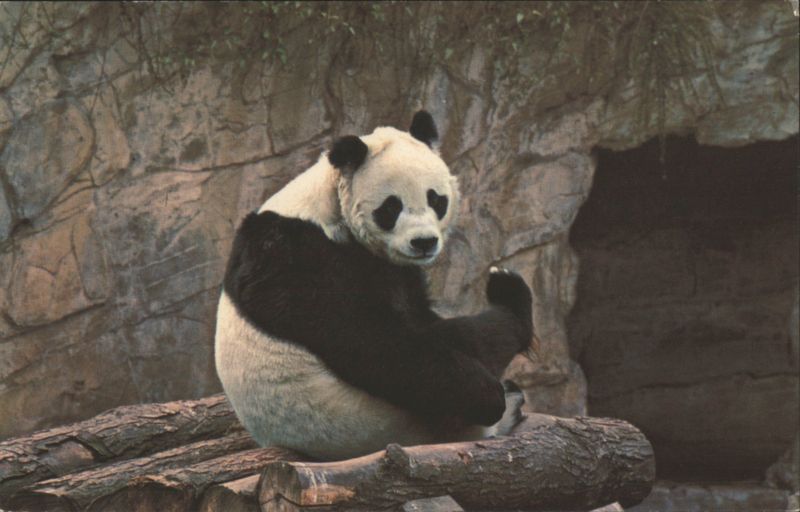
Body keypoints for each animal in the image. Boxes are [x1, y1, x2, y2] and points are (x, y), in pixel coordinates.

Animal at [215, 111, 533, 460]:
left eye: (436, 199)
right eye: (391, 207)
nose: (423, 242)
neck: (326, 208)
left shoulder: (395, 270)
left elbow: (410, 311)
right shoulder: (288, 255)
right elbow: (366, 337)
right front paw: (486, 394)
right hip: (384, 418)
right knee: (458, 339)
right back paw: (509, 306)